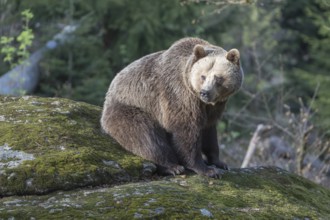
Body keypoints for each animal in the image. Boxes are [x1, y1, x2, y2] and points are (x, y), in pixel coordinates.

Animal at [102, 37, 244, 178]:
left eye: (218, 78)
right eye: (203, 76)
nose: (205, 92)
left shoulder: (212, 108)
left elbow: (209, 131)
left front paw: (219, 162)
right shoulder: (179, 95)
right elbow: (186, 130)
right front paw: (205, 169)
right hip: (129, 109)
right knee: (146, 136)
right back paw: (171, 167)